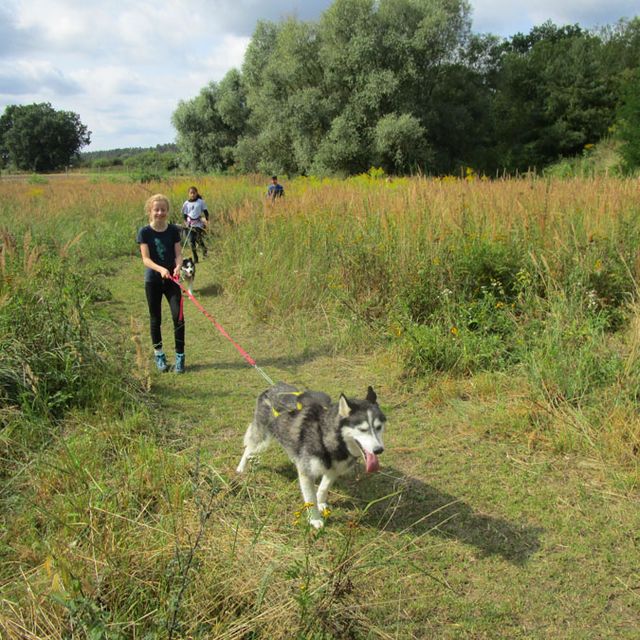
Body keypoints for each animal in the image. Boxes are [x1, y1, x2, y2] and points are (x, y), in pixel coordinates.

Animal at [236, 382, 382, 528]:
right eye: (362, 429)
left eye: (379, 427)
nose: (379, 450)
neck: (325, 436)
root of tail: (272, 387)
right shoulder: (306, 473)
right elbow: (310, 498)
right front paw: (315, 519)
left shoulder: (334, 470)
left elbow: (324, 488)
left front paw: (321, 502)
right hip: (261, 441)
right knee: (248, 448)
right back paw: (241, 468)